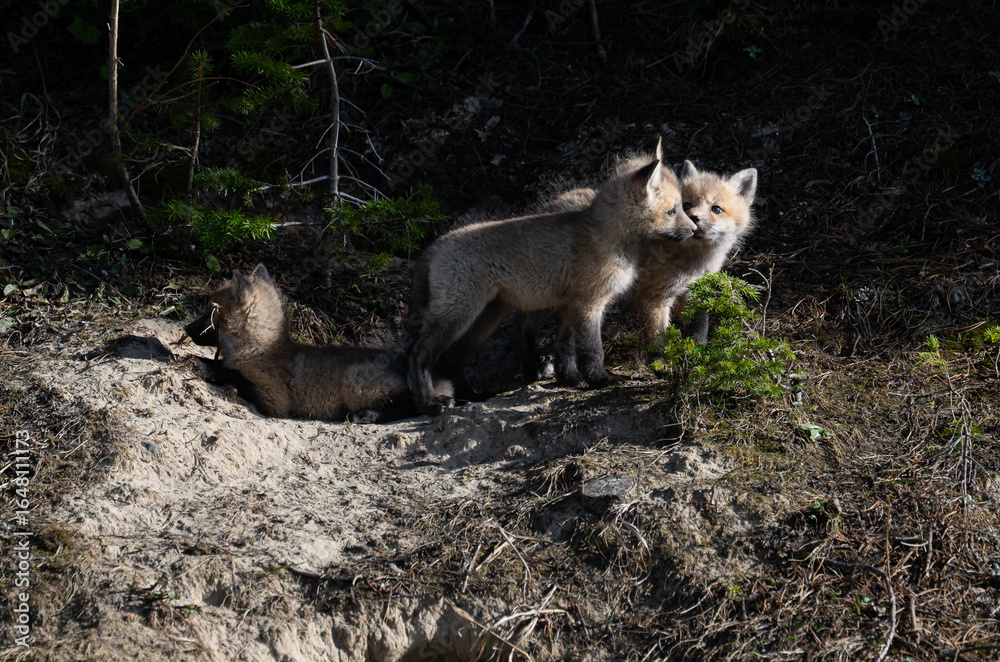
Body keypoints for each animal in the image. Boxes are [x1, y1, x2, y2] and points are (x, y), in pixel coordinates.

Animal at [185, 264, 451, 423]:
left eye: (210, 311)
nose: (185, 328)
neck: (255, 349)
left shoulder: (274, 401)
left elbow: (233, 376)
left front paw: (201, 365)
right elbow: (224, 368)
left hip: (354, 383)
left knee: (412, 401)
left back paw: (373, 413)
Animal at [407, 139, 697, 415]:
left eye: (681, 207)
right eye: (672, 211)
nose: (694, 230)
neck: (607, 238)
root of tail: (434, 247)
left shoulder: (571, 304)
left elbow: (564, 344)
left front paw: (570, 379)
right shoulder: (589, 303)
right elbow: (591, 349)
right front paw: (601, 380)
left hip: (486, 318)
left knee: (452, 360)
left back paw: (472, 396)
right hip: (458, 315)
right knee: (419, 354)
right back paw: (429, 404)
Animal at [516, 159, 758, 373]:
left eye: (716, 209)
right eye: (687, 205)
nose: (694, 219)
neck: (692, 260)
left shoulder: (692, 290)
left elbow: (699, 325)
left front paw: (697, 351)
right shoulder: (652, 296)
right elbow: (657, 338)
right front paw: (661, 367)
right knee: (525, 325)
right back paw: (532, 366)